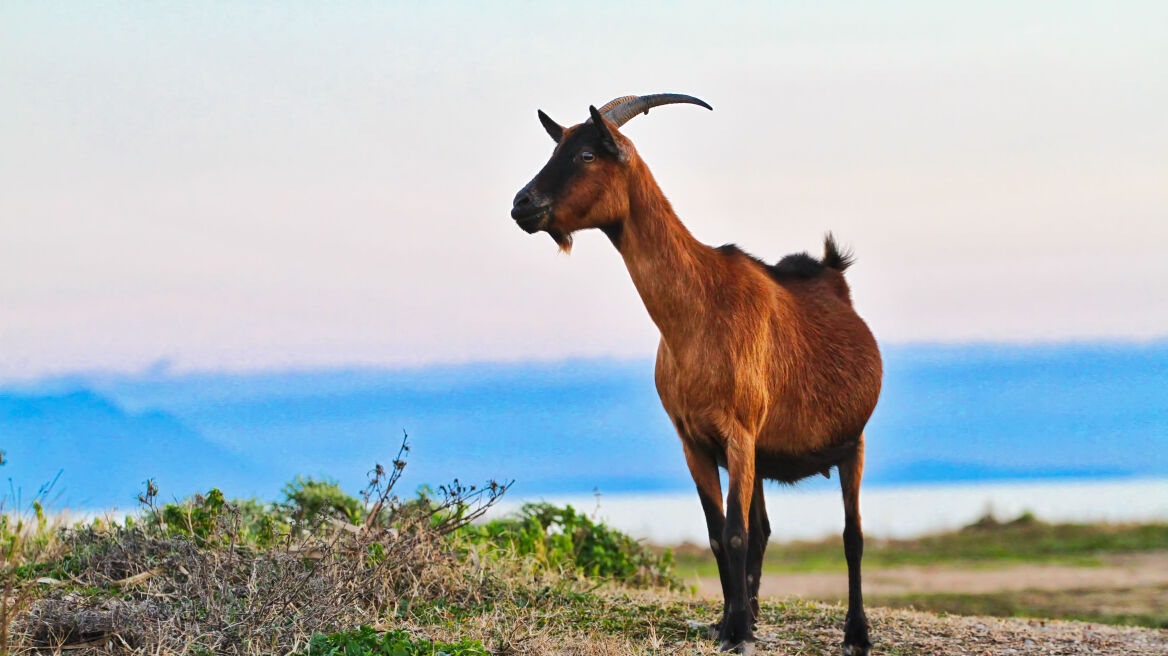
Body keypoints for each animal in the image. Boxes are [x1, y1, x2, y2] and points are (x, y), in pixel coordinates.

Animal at [511, 93, 883, 653]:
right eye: (558, 148)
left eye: (586, 155)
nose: (522, 204)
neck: (698, 311)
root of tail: (834, 276)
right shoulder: (694, 440)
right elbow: (718, 533)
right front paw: (729, 622)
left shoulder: (739, 431)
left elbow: (735, 533)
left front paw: (737, 631)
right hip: (765, 453)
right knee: (765, 528)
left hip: (851, 442)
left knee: (852, 534)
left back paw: (855, 633)